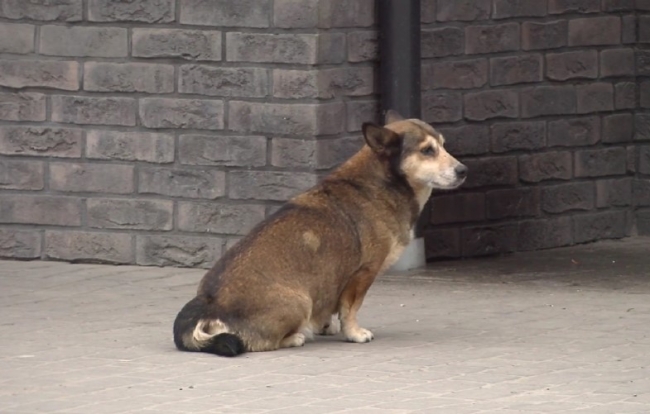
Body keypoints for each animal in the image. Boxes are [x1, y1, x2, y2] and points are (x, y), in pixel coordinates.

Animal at [172, 110, 466, 356]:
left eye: (444, 145)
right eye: (427, 150)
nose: (463, 170)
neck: (385, 182)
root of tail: (208, 303)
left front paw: (327, 325)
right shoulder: (362, 274)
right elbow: (350, 309)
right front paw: (354, 333)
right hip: (300, 301)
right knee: (260, 343)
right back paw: (294, 337)